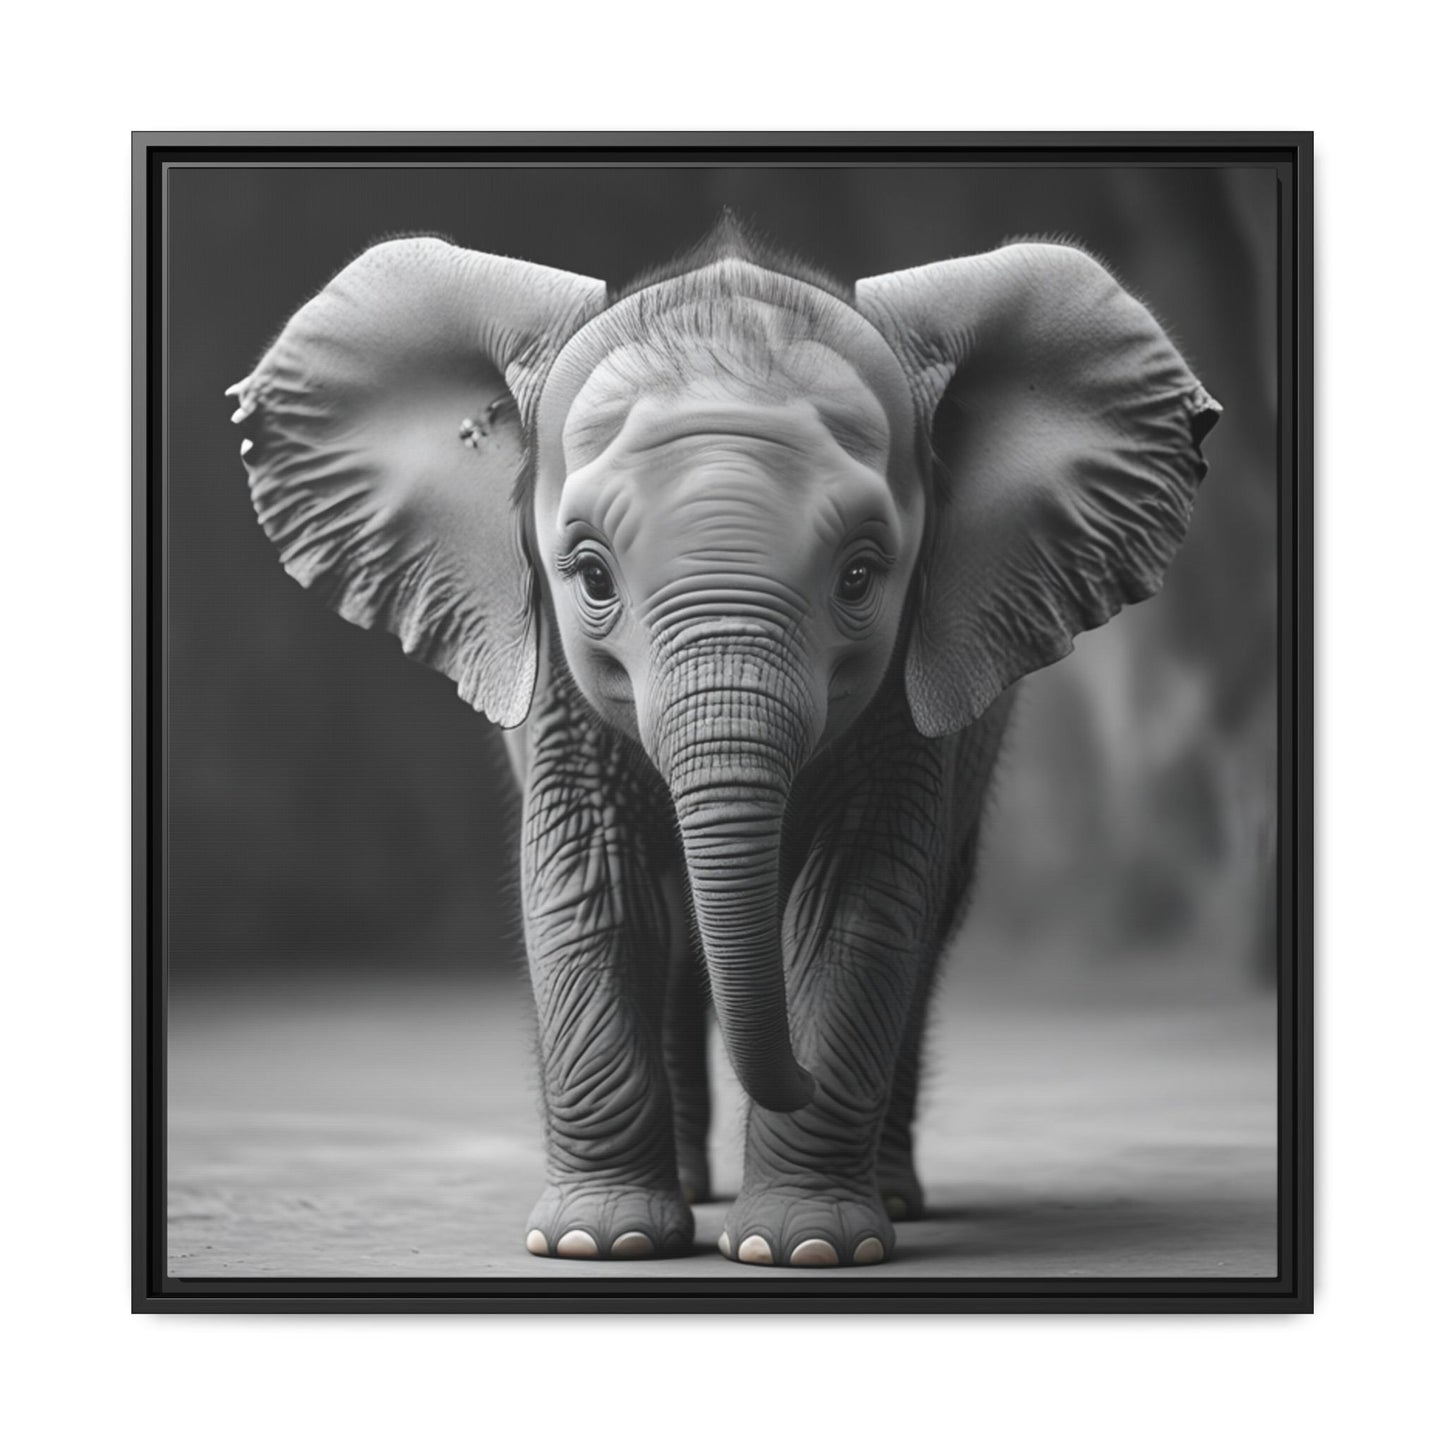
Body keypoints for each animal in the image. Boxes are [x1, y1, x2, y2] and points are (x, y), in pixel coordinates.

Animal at [228, 215, 1219, 1268]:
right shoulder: (556, 683)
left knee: (921, 926)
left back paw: (889, 1196)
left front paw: (805, 1247)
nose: (798, 1079)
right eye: (589, 574)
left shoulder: (907, 681)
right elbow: (593, 881)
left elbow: (858, 900)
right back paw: (692, 1194)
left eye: (861, 575)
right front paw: (596, 1241)